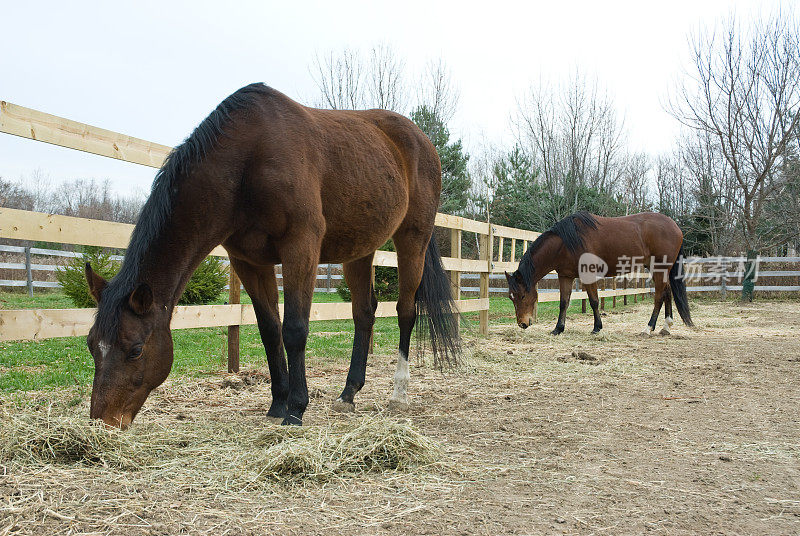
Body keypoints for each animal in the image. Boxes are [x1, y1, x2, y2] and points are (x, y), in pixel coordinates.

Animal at [84, 82, 460, 428]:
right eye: (91, 345)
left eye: (135, 349)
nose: (104, 421)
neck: (248, 158)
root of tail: (421, 139)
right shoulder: (250, 263)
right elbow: (269, 330)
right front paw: (278, 403)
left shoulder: (300, 247)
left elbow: (294, 329)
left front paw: (296, 408)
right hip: (359, 249)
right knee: (364, 313)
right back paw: (348, 395)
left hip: (412, 239)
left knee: (405, 312)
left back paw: (399, 393)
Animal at [506, 211, 692, 338]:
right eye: (511, 298)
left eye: (522, 296)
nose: (522, 324)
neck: (566, 243)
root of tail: (675, 227)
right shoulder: (565, 276)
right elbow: (563, 303)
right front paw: (558, 329)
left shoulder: (588, 274)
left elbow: (594, 301)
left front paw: (597, 327)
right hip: (660, 270)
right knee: (667, 292)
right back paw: (666, 326)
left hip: (659, 268)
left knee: (659, 295)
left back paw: (648, 328)